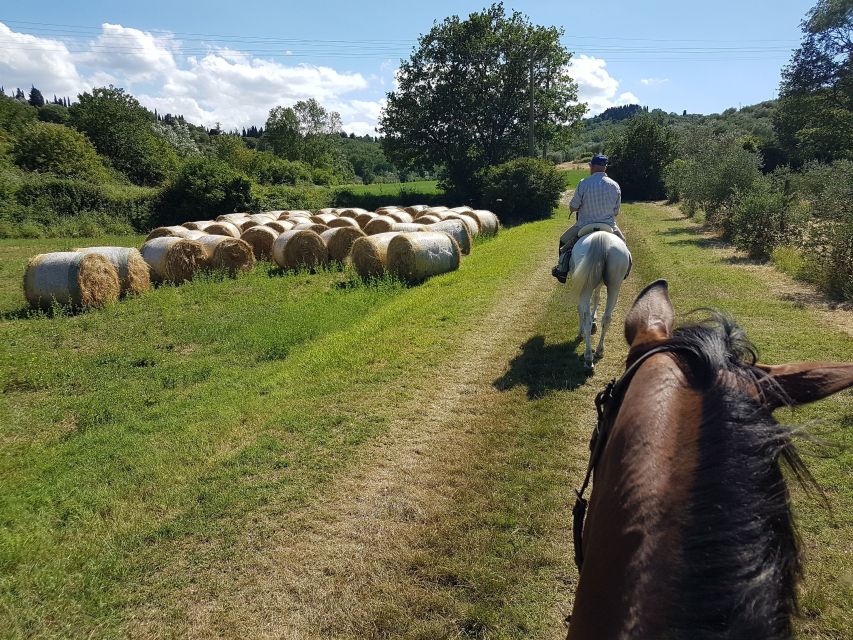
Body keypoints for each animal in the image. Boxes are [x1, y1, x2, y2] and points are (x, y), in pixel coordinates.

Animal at [564, 229, 632, 370]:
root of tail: (601, 238)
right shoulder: (600, 283)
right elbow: (597, 298)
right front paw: (595, 319)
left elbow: (581, 308)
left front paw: (580, 333)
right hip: (614, 285)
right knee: (606, 318)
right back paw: (599, 351)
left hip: (586, 287)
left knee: (586, 318)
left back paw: (588, 358)